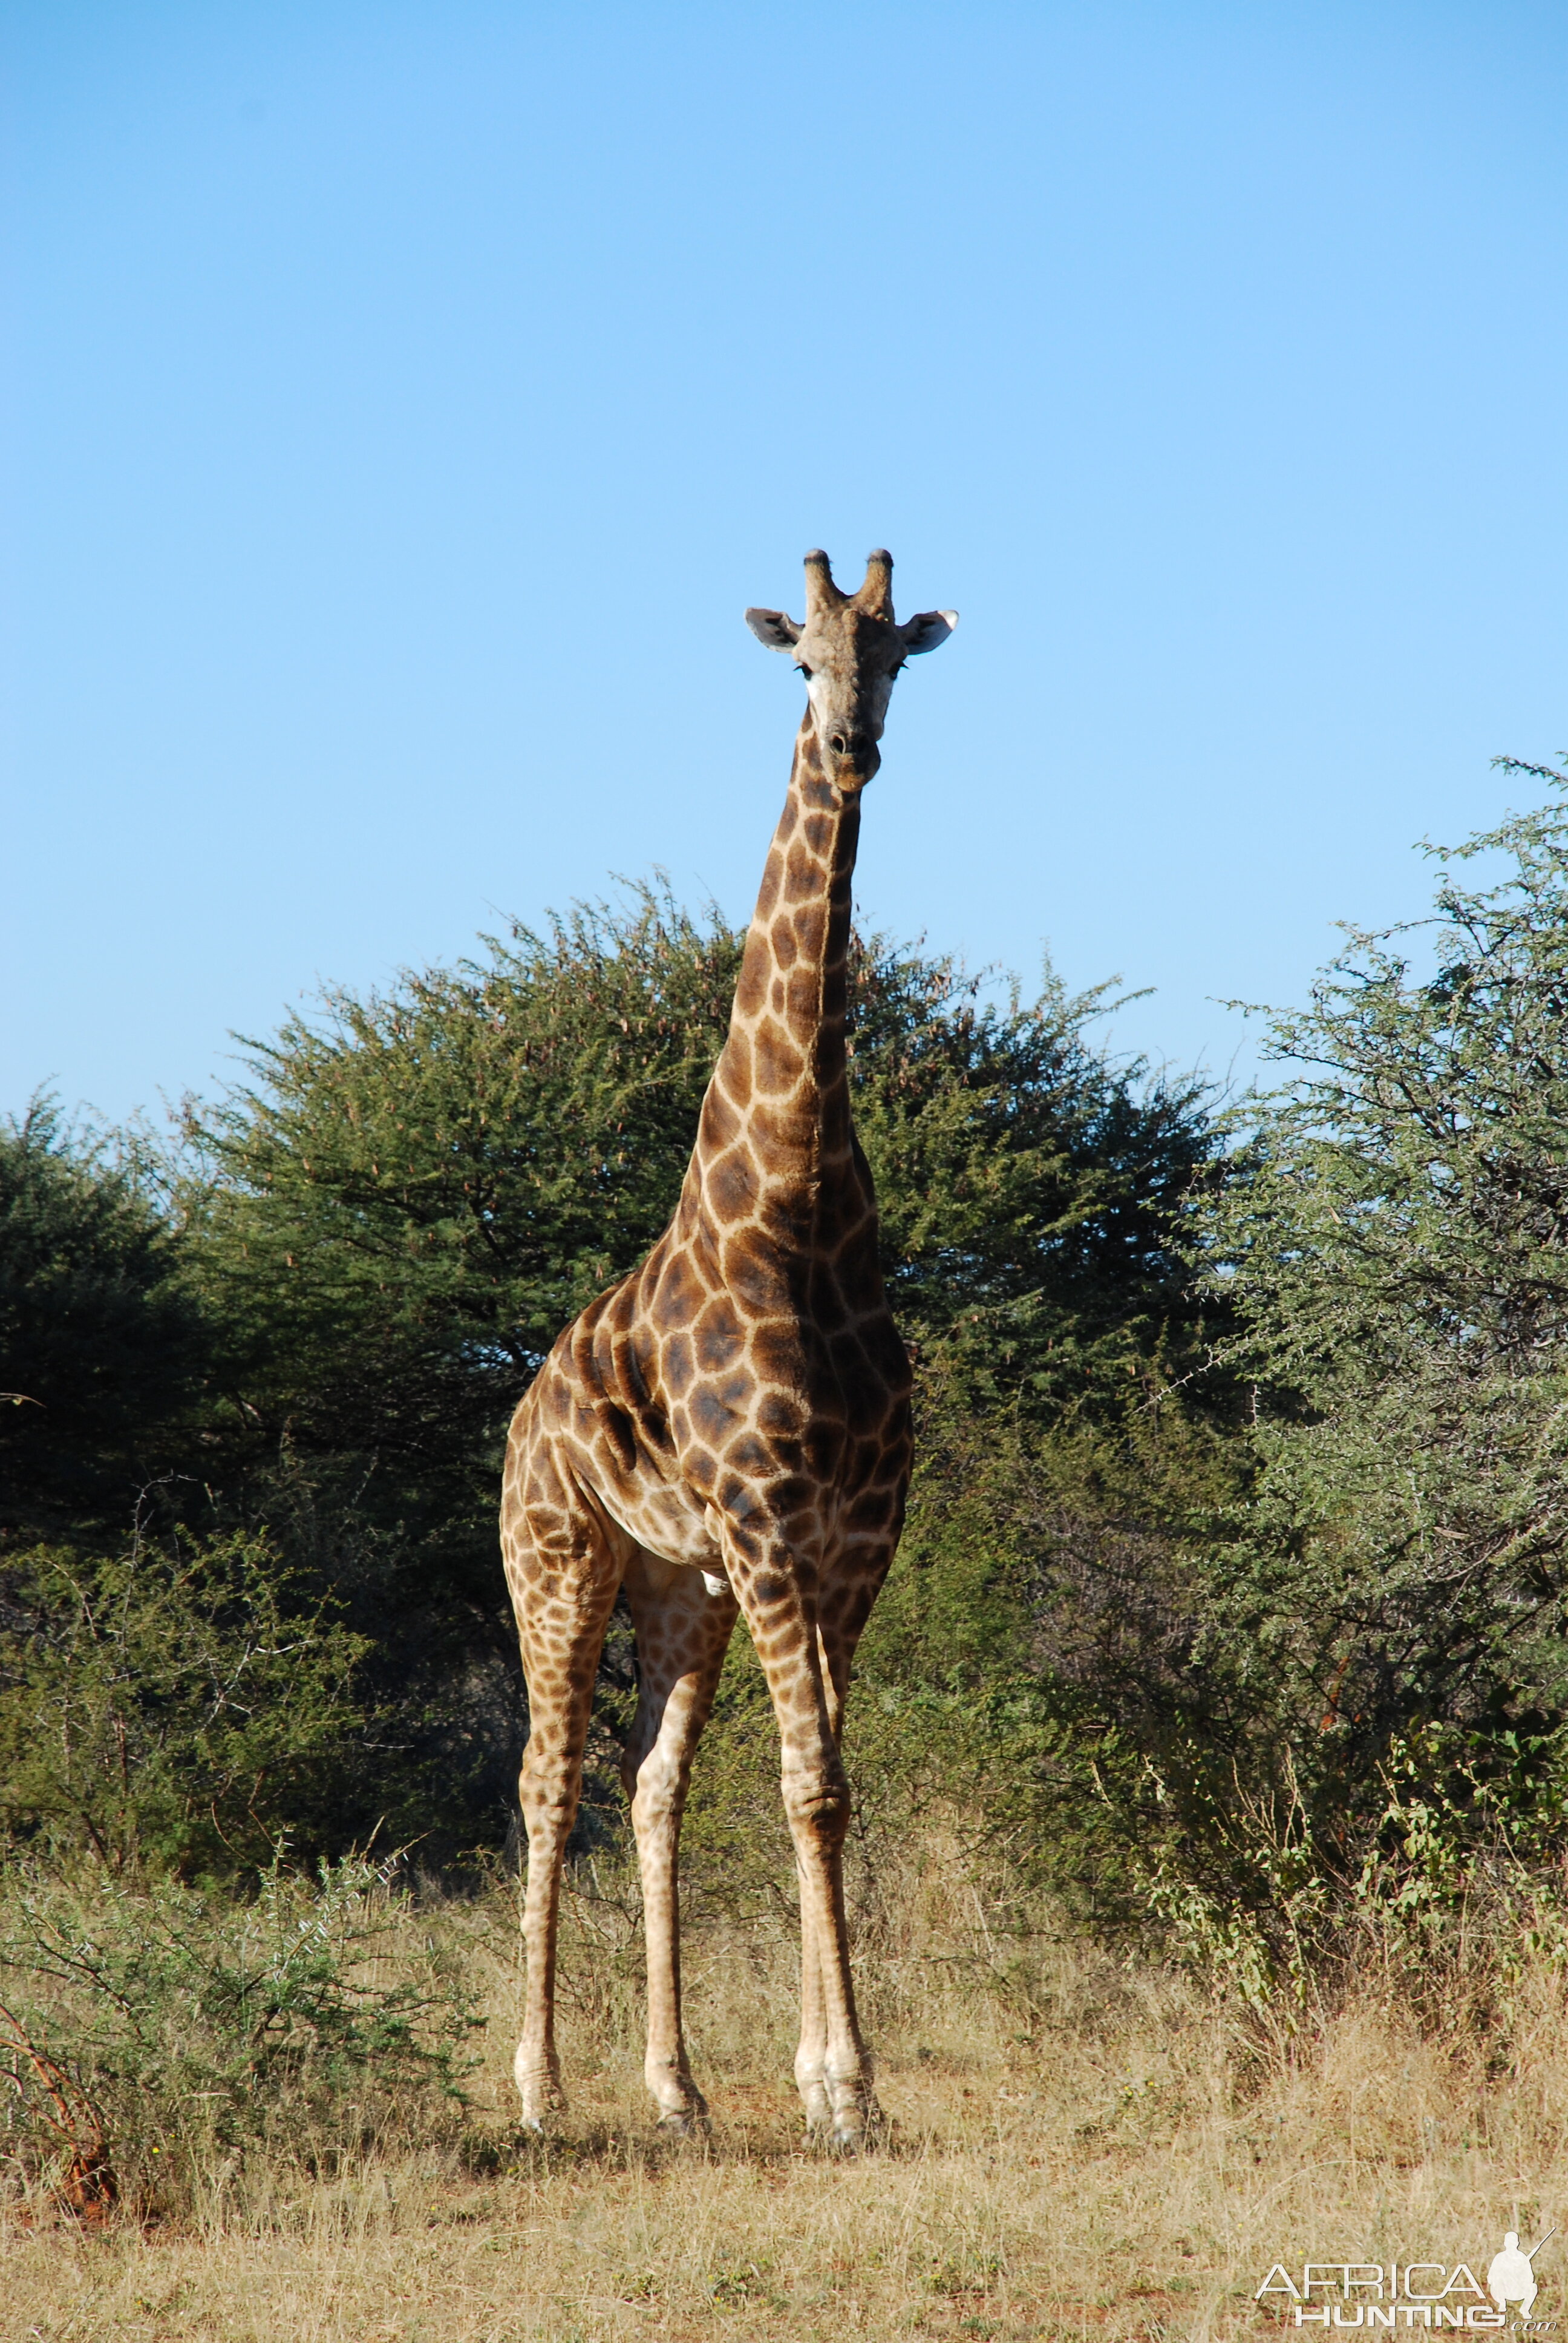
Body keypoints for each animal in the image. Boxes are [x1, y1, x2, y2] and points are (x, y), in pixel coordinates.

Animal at [501, 543, 956, 2146]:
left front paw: (826, 2079)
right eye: (799, 662)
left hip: (674, 1586)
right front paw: (849, 2089)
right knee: (544, 1781)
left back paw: (675, 2090)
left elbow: (822, 1778)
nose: (851, 744)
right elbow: (809, 1781)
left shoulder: (854, 1538)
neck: (799, 1201)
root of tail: (515, 1415)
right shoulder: (768, 1523)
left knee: (649, 1790)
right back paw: (538, 2089)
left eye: (894, 657)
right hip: (560, 1564)